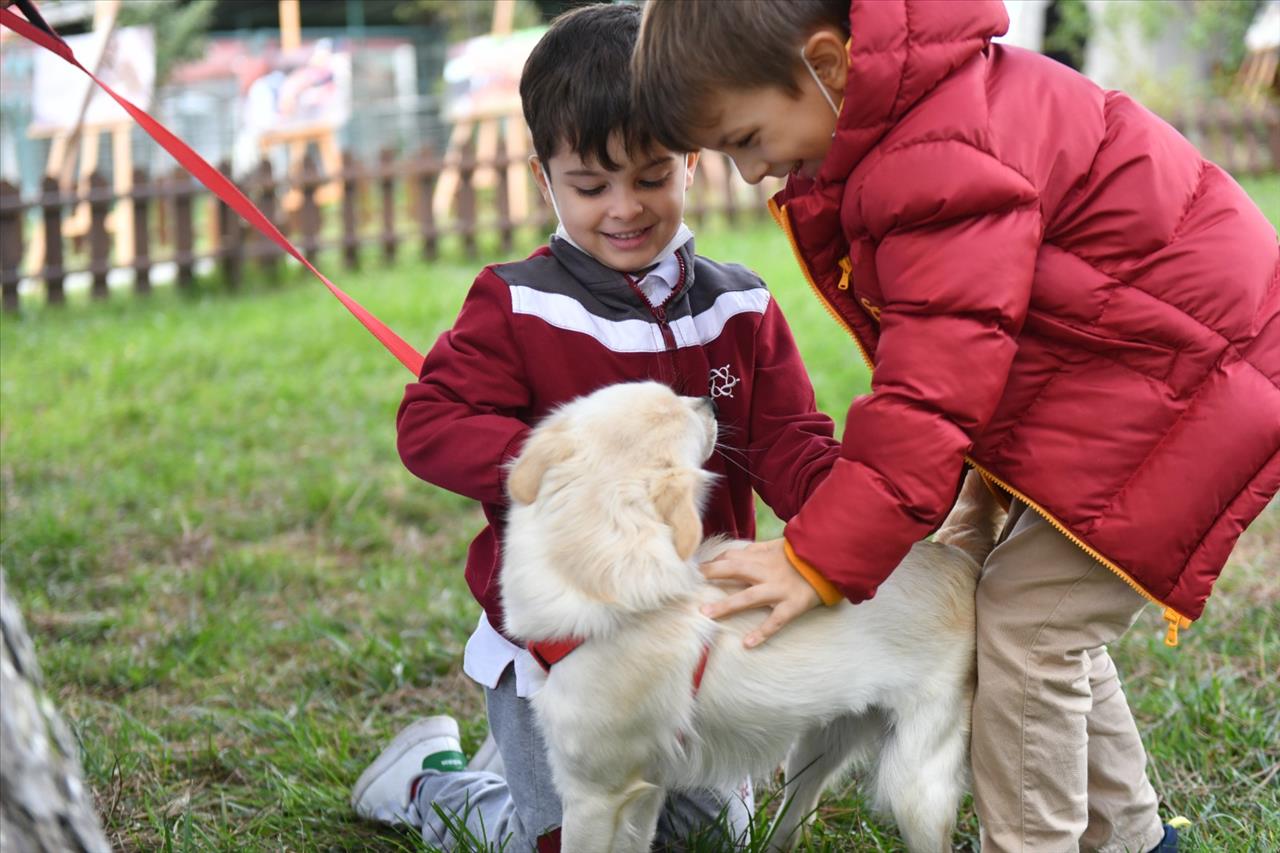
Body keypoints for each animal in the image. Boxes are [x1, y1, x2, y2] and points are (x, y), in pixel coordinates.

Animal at [499, 381, 998, 845]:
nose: (709, 401)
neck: (595, 574)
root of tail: (955, 553)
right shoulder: (646, 789)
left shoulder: (596, 796)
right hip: (818, 745)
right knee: (796, 817)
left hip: (915, 788)